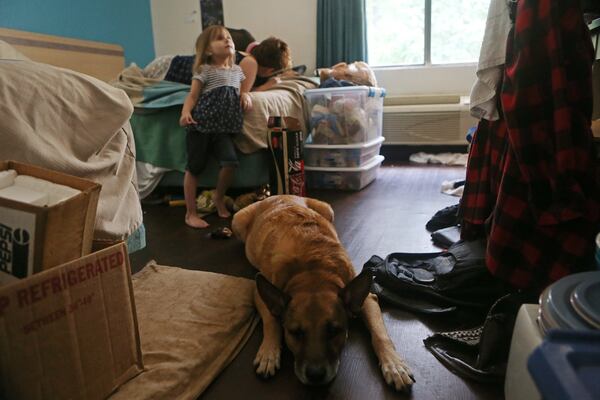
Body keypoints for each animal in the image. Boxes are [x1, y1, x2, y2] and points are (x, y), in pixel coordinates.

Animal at [232, 195, 414, 390]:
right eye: (295, 333)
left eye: (334, 331)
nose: (315, 376)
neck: (313, 273)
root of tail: (278, 195)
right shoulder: (259, 295)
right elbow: (271, 322)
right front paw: (268, 353)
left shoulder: (367, 299)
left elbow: (380, 334)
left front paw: (394, 364)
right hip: (237, 221)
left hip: (328, 210)